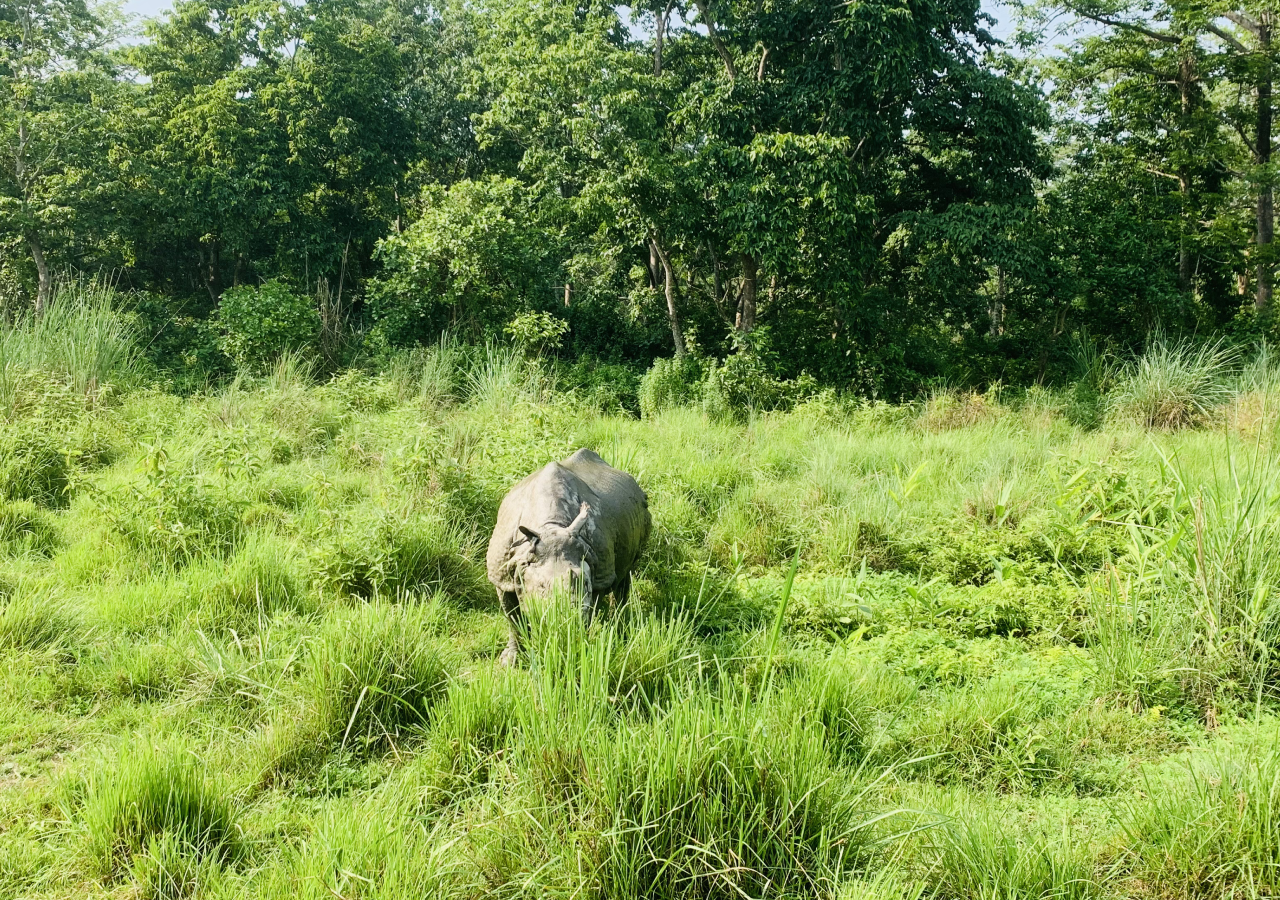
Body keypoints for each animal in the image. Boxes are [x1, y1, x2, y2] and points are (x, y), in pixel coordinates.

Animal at [486, 448, 651, 664]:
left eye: (584, 583)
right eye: (541, 588)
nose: (564, 617)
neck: (551, 526)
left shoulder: (597, 574)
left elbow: (589, 612)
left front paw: (580, 650)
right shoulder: (501, 576)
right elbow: (513, 619)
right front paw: (510, 661)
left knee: (625, 574)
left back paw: (619, 629)